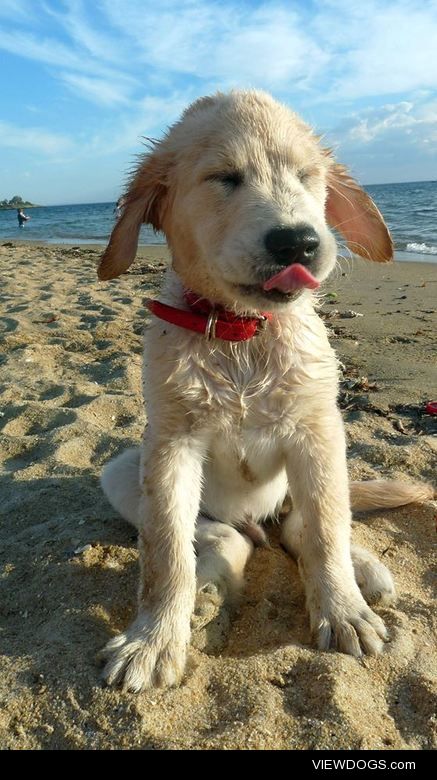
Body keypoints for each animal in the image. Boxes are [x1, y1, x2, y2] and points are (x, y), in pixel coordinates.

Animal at [96, 88, 432, 692]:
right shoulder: (171, 444)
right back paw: (211, 588)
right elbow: (165, 553)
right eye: (224, 178)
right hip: (122, 468)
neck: (242, 334)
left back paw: (363, 572)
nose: (299, 241)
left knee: (308, 522)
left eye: (306, 176)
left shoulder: (317, 430)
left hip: (327, 460)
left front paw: (342, 612)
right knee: (218, 538)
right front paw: (152, 641)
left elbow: (324, 529)